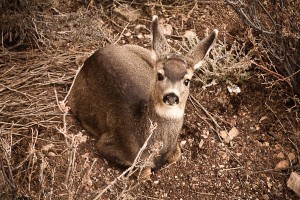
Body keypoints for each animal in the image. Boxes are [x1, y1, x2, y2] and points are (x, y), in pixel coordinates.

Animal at [67, 15, 218, 178]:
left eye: (187, 80)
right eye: (159, 75)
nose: (171, 96)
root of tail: (93, 56)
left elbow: (176, 155)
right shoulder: (107, 144)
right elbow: (144, 171)